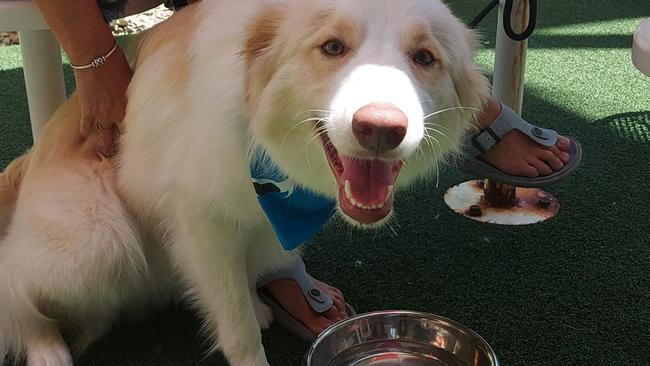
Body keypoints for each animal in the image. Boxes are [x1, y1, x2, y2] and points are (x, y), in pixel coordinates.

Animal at [0, 0, 486, 364]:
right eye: (332, 46)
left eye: (424, 57)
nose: (381, 129)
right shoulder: (201, 220)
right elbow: (239, 332)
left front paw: (256, 299)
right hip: (99, 241)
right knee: (14, 280)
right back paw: (44, 348)